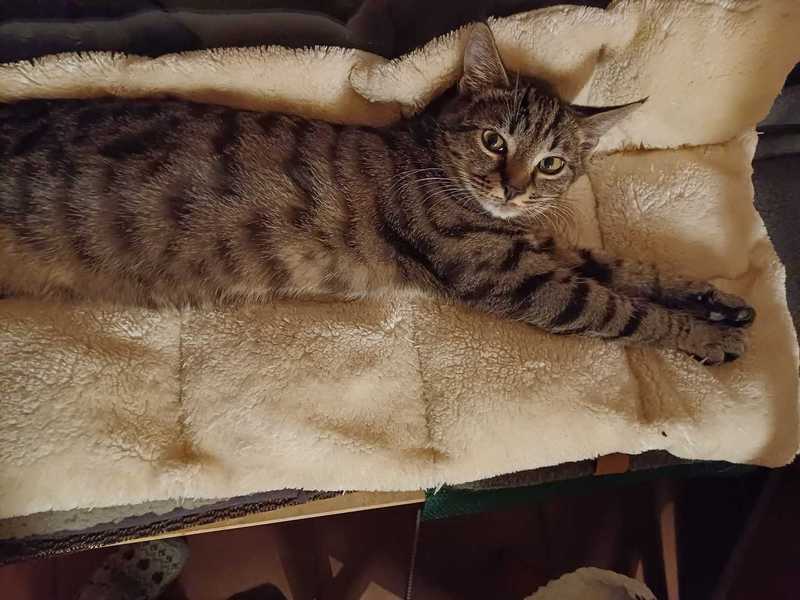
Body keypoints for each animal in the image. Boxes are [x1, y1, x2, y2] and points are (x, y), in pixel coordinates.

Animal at [0, 23, 754, 365]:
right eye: (495, 142)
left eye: (552, 165)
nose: (511, 189)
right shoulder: (504, 273)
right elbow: (617, 307)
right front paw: (700, 336)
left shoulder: (533, 244)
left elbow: (629, 269)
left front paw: (711, 298)